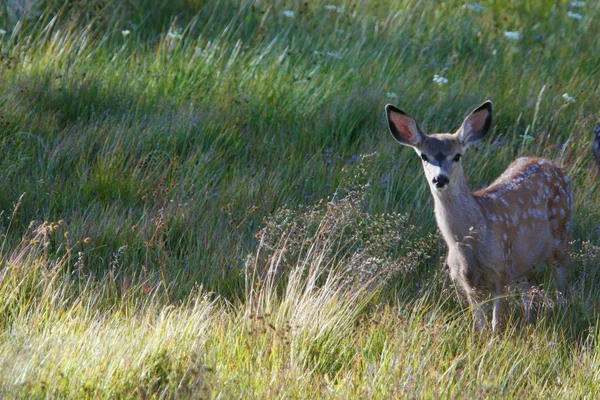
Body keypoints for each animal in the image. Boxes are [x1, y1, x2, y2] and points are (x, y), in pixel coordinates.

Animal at [384, 101, 572, 332]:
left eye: (457, 155)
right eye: (424, 156)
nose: (440, 179)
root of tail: (551, 164)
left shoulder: (501, 270)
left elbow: (495, 323)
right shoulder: (468, 283)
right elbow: (480, 325)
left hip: (561, 233)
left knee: (562, 286)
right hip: (524, 262)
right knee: (531, 287)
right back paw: (529, 323)